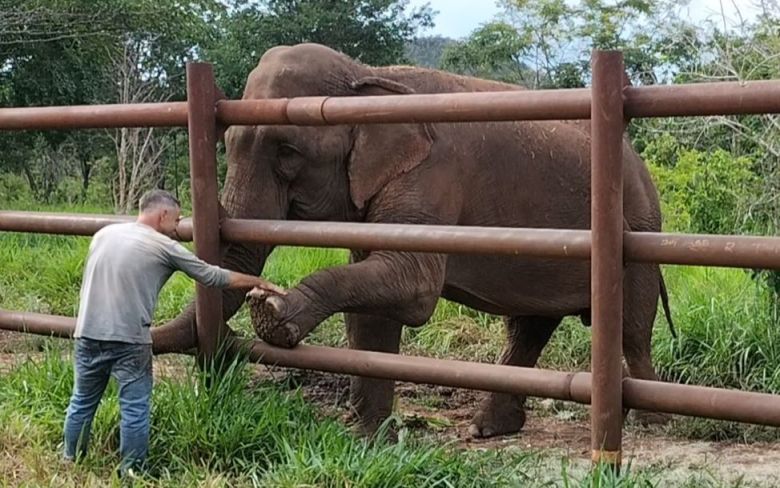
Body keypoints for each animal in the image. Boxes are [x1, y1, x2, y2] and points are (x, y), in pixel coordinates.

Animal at [155, 43, 672, 438]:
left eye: (288, 151)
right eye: (228, 145)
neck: (368, 78)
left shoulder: (431, 176)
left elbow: (413, 287)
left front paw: (273, 311)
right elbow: (372, 308)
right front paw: (369, 438)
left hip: (639, 224)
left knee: (630, 326)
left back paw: (652, 421)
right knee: (528, 326)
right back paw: (489, 428)